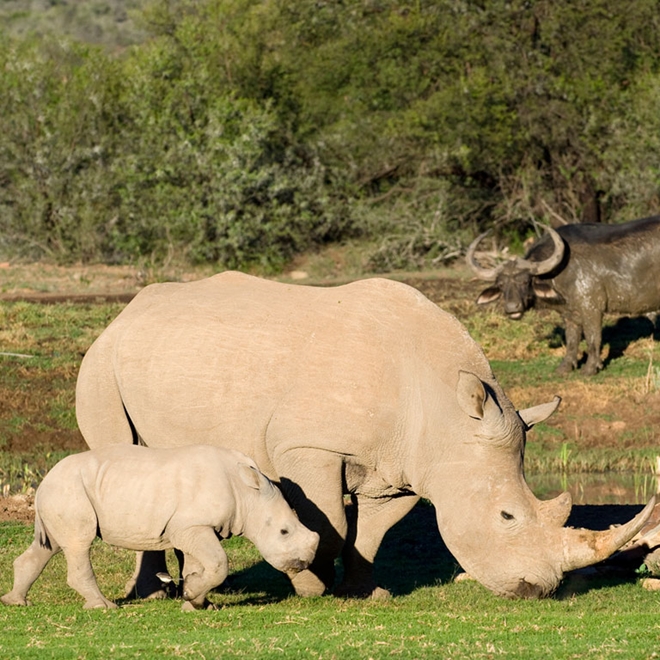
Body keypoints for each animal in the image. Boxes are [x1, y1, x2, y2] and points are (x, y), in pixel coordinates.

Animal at [0, 444, 319, 610]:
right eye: (284, 532)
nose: (304, 563)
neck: (247, 494)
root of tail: (44, 480)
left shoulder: (192, 526)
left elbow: (200, 565)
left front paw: (195, 601)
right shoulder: (191, 526)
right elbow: (219, 562)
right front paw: (193, 597)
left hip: (62, 492)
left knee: (50, 546)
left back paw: (15, 602)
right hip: (69, 491)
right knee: (80, 543)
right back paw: (104, 607)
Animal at [75, 271, 655, 599]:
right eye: (507, 517)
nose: (538, 590)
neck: (444, 412)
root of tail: (125, 311)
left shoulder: (404, 467)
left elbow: (370, 533)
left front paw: (364, 593)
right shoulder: (309, 447)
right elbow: (327, 523)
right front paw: (310, 586)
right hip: (101, 363)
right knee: (119, 455)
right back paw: (152, 593)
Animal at [467, 216, 660, 375]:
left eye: (525, 281)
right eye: (501, 284)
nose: (512, 307)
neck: (563, 271)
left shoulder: (592, 309)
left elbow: (593, 338)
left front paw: (590, 369)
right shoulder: (569, 314)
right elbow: (572, 340)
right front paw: (565, 367)